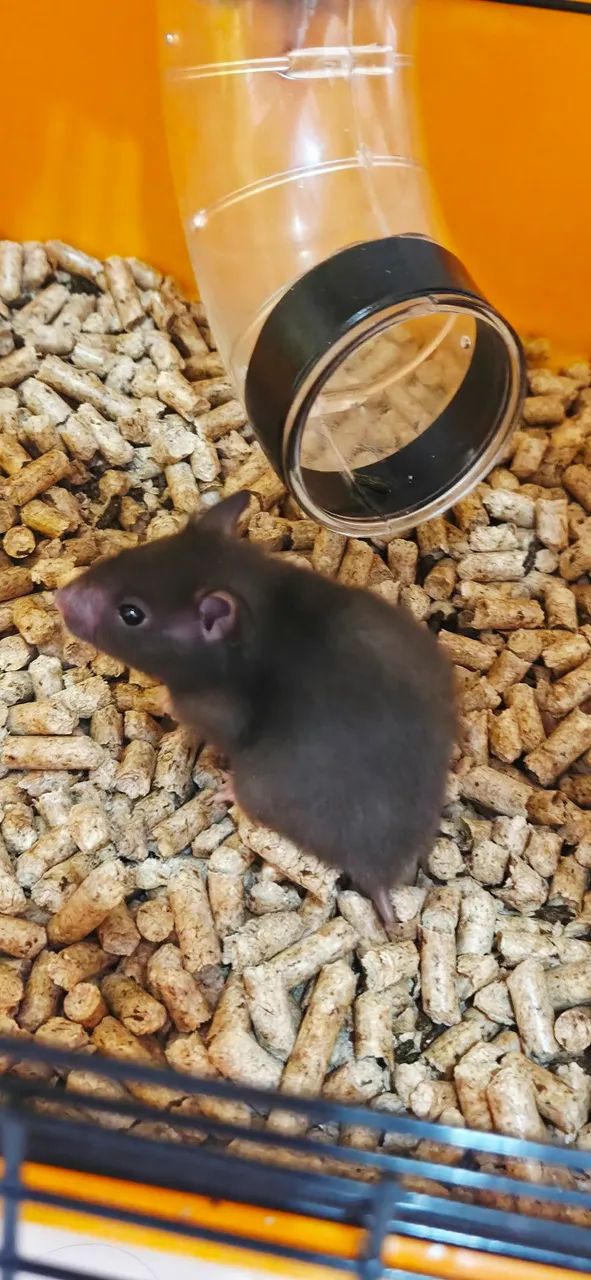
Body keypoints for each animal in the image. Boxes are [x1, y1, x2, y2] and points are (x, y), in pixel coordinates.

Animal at [56, 492, 456, 923]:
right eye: (131, 552)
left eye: (131, 614)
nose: (59, 598)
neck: (262, 600)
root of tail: (378, 872)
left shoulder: (211, 705)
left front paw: (160, 698)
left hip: (262, 785)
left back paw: (227, 788)